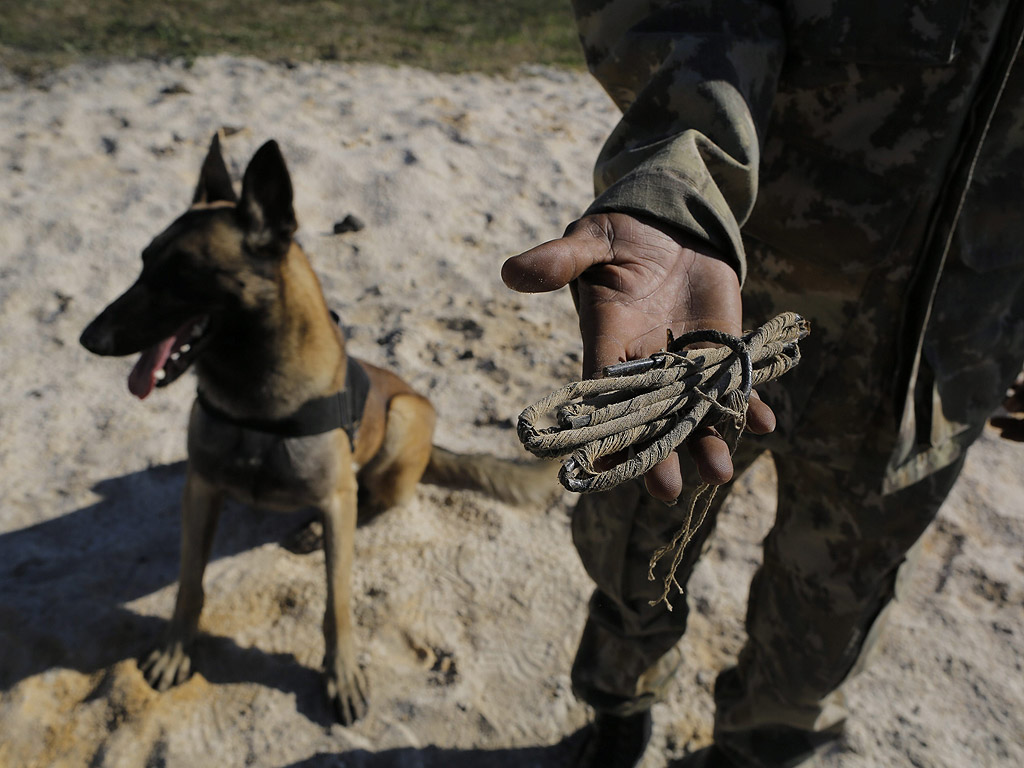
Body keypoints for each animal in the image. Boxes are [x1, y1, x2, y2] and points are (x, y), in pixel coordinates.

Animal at [81, 137, 552, 729]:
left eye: (183, 272)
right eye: (143, 262)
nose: (90, 338)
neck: (258, 405)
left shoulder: (333, 498)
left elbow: (338, 602)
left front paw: (341, 672)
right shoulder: (201, 489)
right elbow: (189, 582)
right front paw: (175, 648)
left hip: (403, 419)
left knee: (380, 501)